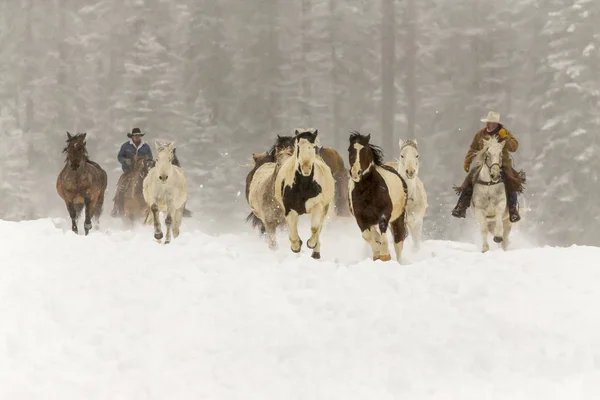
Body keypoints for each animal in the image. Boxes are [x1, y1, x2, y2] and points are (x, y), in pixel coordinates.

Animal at [274, 129, 336, 260]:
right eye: (298, 146)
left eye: (313, 146)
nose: (306, 168)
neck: (304, 186)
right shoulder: (289, 209)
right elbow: (292, 232)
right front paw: (296, 246)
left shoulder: (318, 206)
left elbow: (315, 228)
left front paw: (311, 244)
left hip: (325, 209)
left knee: (319, 228)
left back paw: (316, 252)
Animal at [346, 131, 408, 262]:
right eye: (349, 149)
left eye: (365, 150)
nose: (355, 173)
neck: (367, 190)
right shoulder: (360, 218)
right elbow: (368, 237)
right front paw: (377, 255)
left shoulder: (384, 215)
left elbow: (383, 238)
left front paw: (385, 256)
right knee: (375, 235)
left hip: (398, 217)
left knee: (398, 241)